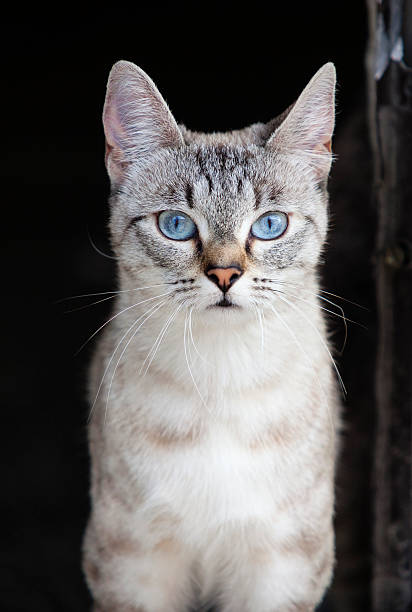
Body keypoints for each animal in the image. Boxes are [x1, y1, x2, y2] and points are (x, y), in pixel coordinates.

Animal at [82, 58, 340, 612]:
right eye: (177, 225)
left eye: (270, 225)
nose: (225, 275)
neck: (221, 378)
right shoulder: (130, 561)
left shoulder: (285, 563)